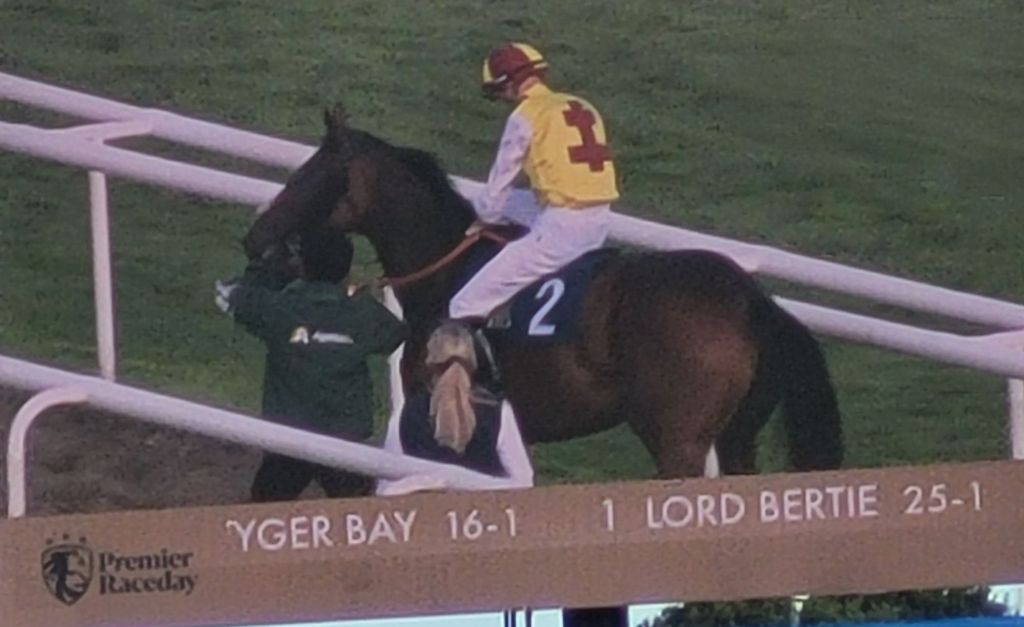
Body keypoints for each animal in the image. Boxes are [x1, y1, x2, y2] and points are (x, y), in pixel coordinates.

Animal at [243, 107, 843, 479]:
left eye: (310, 175)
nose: (255, 235)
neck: (445, 270)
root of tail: (751, 301)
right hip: (737, 436)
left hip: (679, 441)